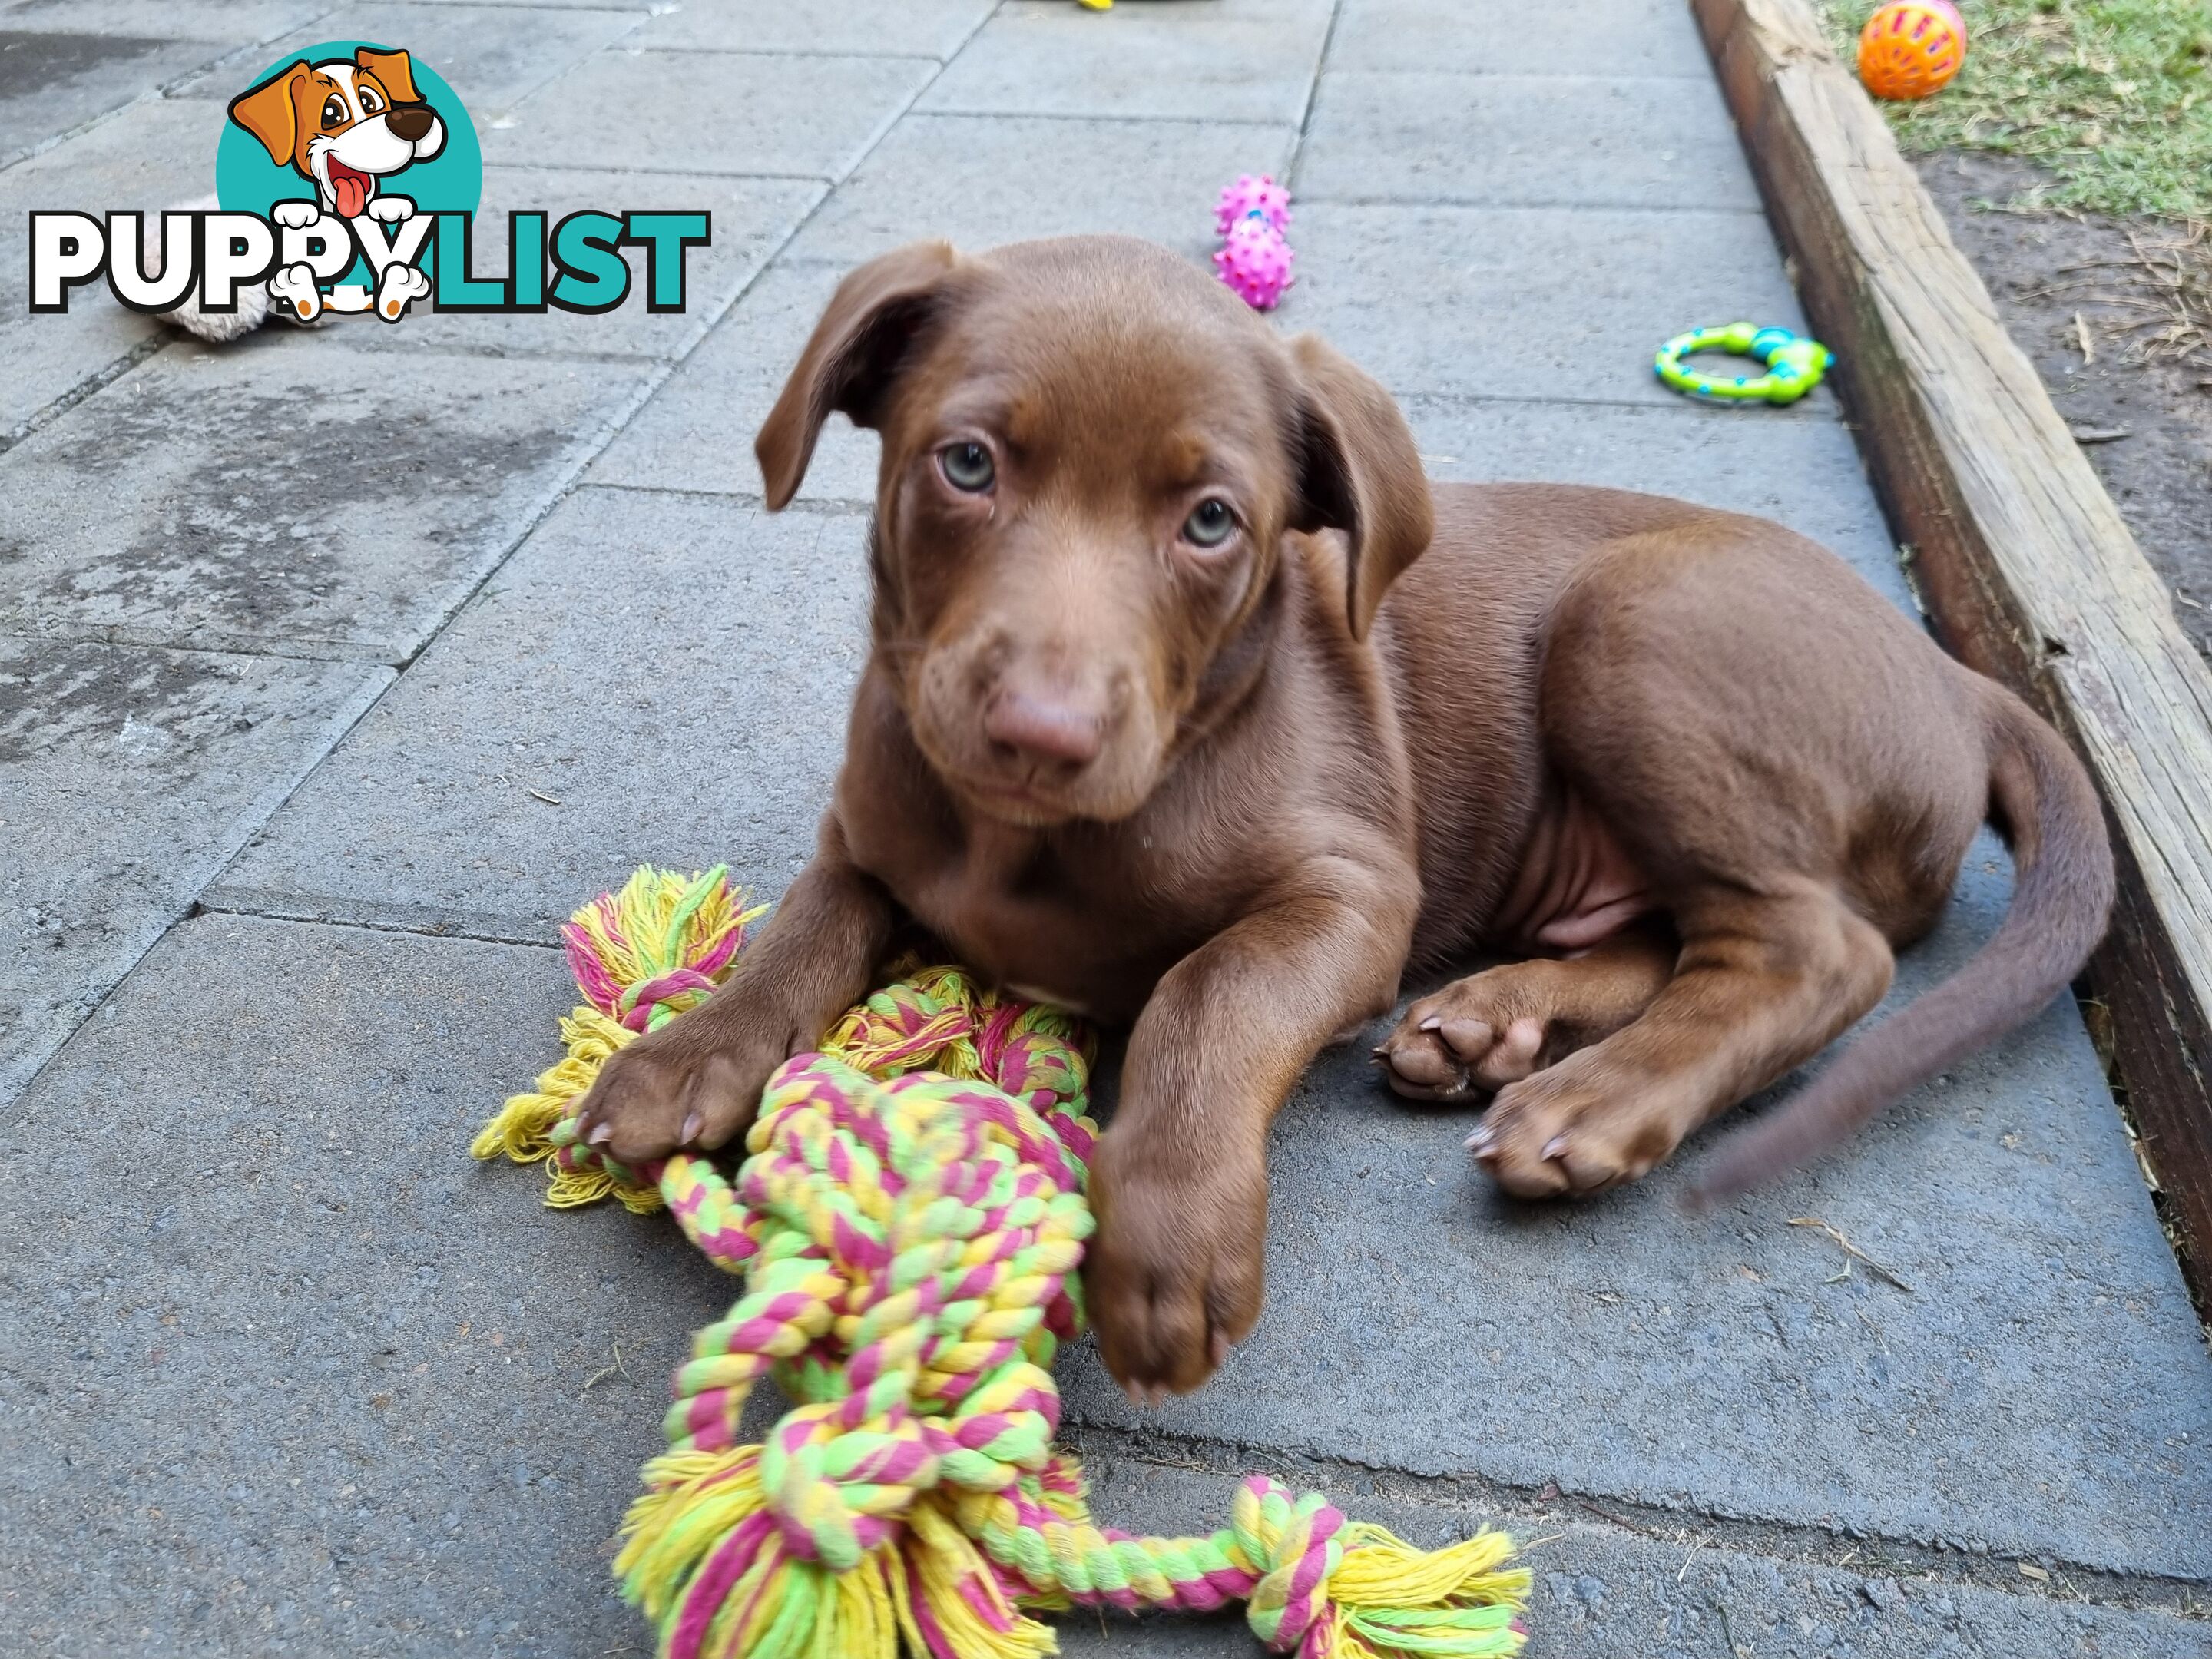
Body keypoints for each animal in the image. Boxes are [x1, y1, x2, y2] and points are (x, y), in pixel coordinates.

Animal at [571, 234, 2105, 1398]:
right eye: (966, 465)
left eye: (1211, 522)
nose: (1040, 736)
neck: (1024, 843)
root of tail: (1958, 678)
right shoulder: (873, 831)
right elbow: (801, 928)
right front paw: (685, 1054)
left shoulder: (1353, 891)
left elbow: (1207, 994)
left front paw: (1165, 1243)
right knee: (1676, 938)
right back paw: (1490, 1025)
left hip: (1638, 622)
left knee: (1814, 951)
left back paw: (1593, 1100)